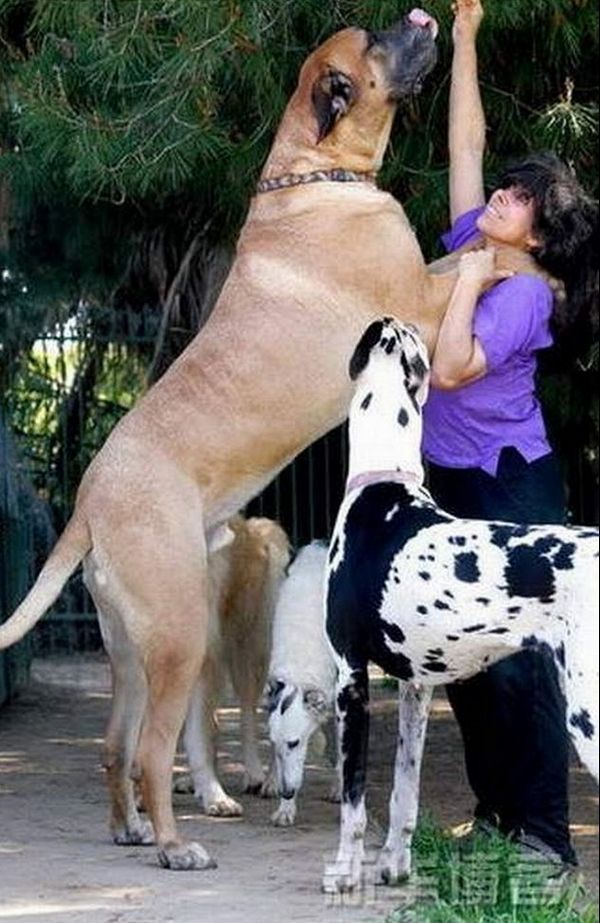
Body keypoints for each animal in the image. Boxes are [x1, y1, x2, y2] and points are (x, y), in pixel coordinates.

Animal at [323, 318, 599, 893]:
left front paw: (343, 873)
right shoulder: (415, 687)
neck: (383, 487)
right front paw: (394, 866)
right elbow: (403, 792)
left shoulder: (350, 679)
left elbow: (353, 801)